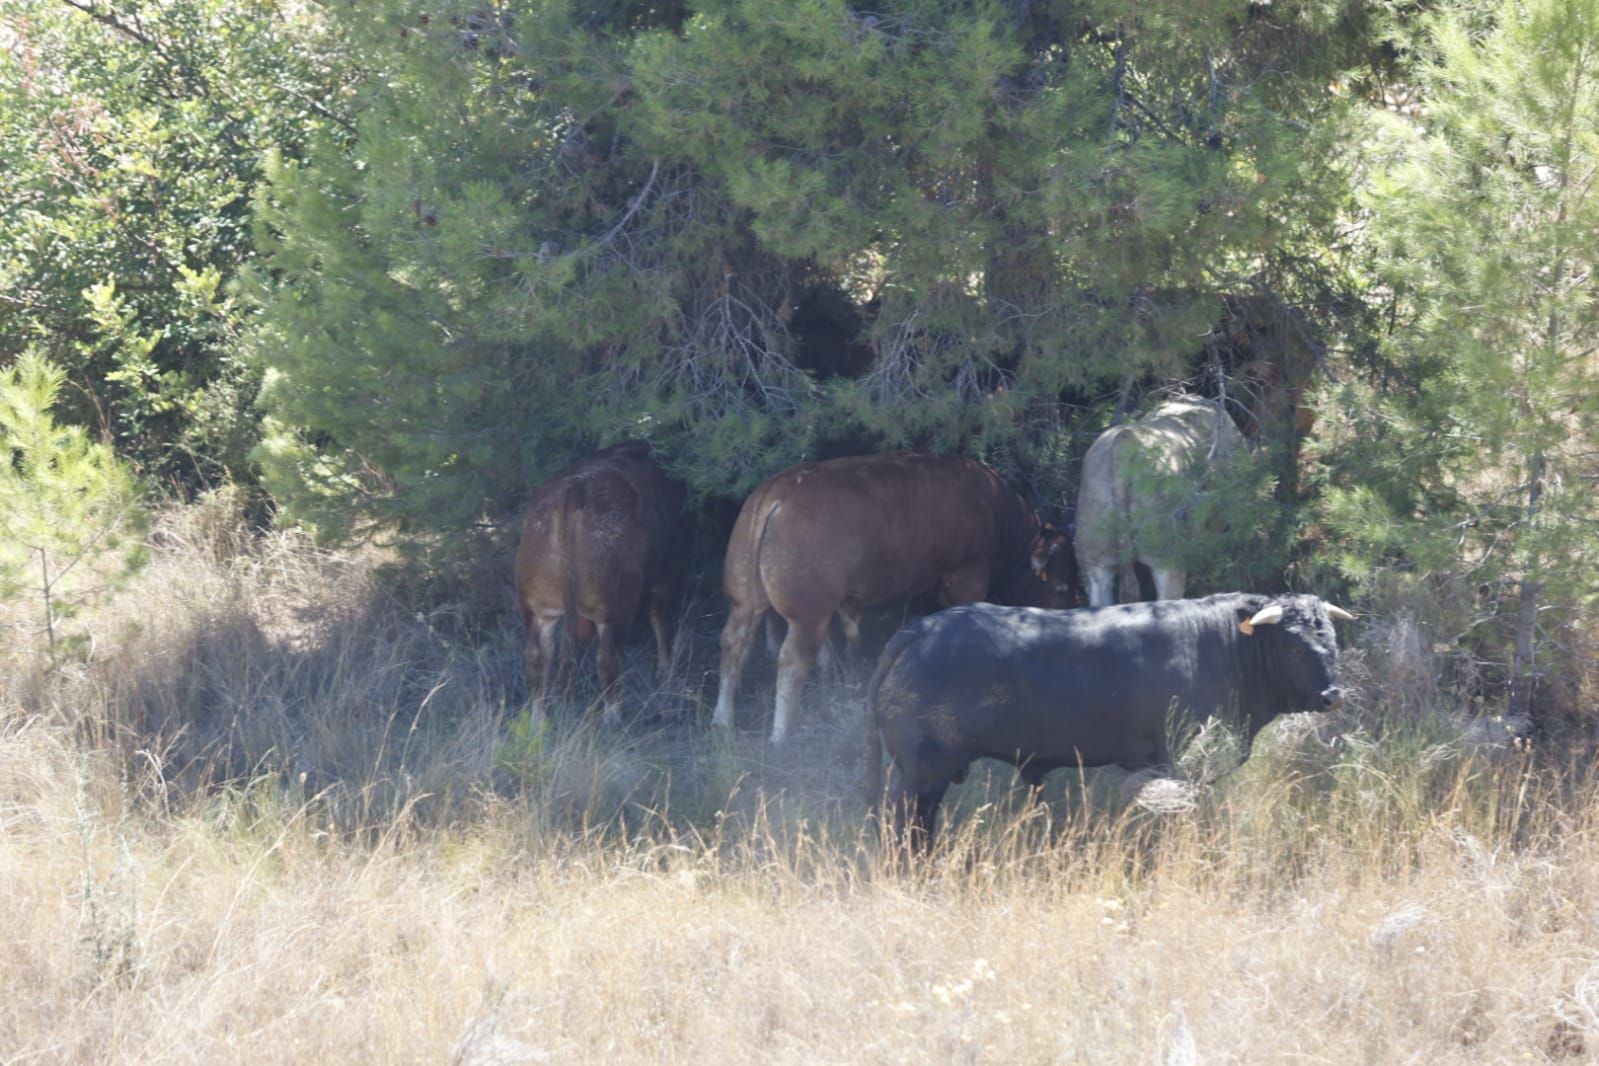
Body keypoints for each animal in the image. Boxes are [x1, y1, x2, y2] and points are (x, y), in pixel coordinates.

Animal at [514, 441, 684, 725]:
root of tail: (572, 494)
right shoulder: (669, 569)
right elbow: (660, 619)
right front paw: (664, 670)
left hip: (537, 606)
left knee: (536, 658)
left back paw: (539, 719)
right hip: (615, 605)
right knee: (607, 659)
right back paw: (613, 717)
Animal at [716, 453, 1074, 747]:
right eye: (1061, 588)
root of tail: (777, 490)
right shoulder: (967, 576)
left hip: (745, 604)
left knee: (734, 646)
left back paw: (722, 721)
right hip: (808, 617)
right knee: (792, 660)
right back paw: (781, 735)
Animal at [863, 597, 1349, 843]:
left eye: (1332, 640)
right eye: (1294, 647)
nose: (1332, 696)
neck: (1227, 646)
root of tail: (923, 628)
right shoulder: (1181, 763)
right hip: (922, 775)